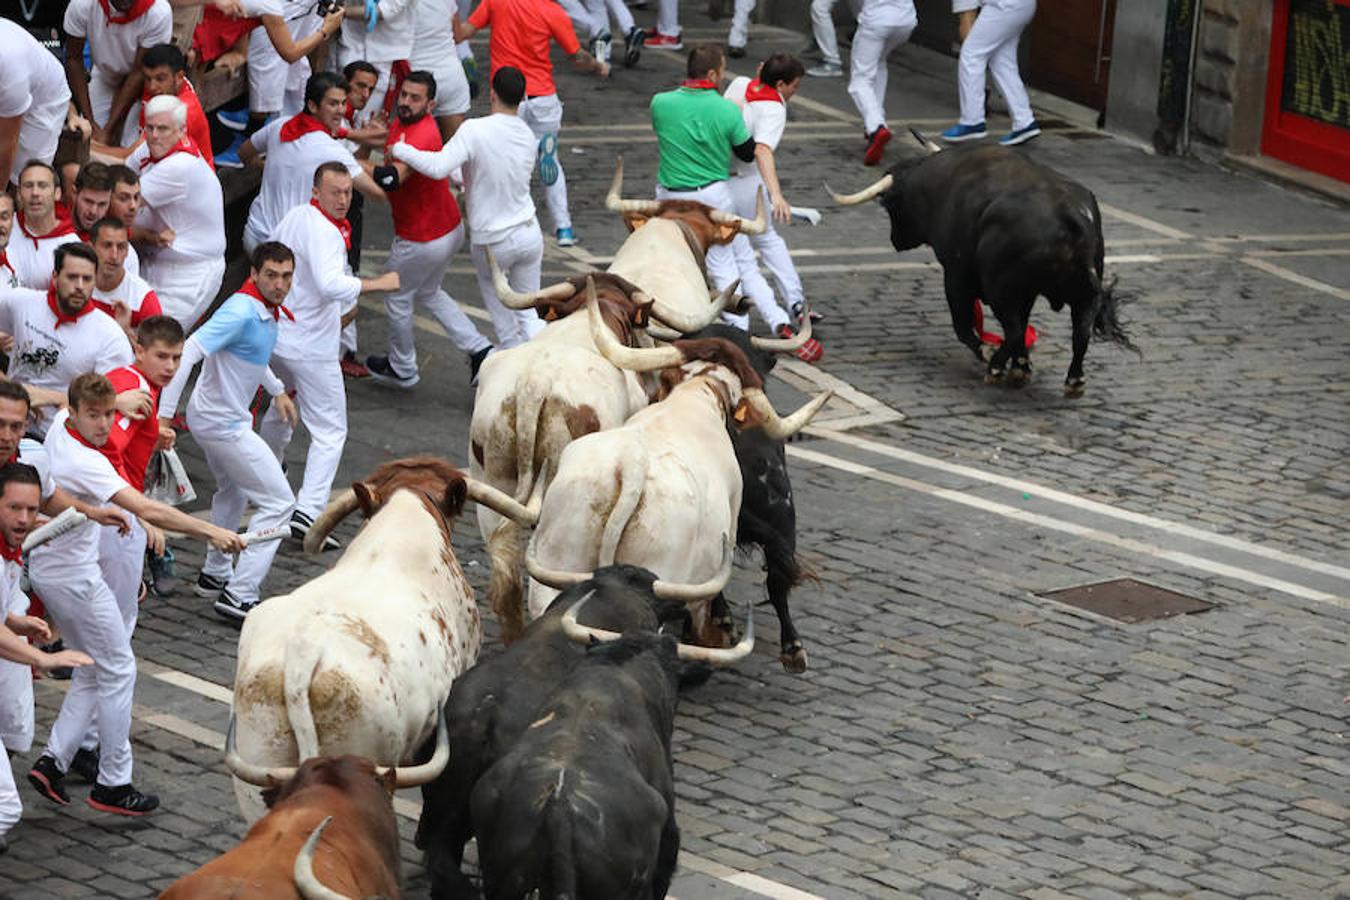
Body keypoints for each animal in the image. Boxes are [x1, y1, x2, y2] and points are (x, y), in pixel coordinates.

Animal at [837, 142, 1134, 391]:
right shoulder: (1026, 292)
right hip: (1080, 295)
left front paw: (991, 353)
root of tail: (1069, 214)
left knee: (1014, 331)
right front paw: (1021, 364)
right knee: (1079, 332)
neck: (945, 182)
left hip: (1000, 289)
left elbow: (962, 324)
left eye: (891, 206)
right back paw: (1072, 379)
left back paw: (995, 367)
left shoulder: (956, 275)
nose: (894, 240)